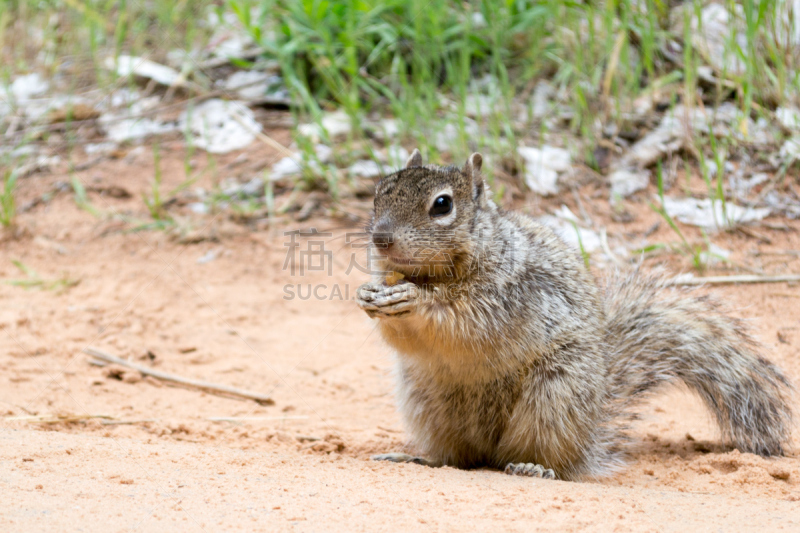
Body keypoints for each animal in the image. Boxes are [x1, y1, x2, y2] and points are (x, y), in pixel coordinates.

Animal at [356, 148, 792, 480]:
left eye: (443, 205)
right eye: (378, 193)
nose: (380, 238)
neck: (436, 273)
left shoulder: (509, 295)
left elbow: (465, 321)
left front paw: (415, 300)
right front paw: (368, 295)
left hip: (556, 395)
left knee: (552, 461)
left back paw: (533, 467)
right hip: (426, 399)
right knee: (461, 458)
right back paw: (423, 458)